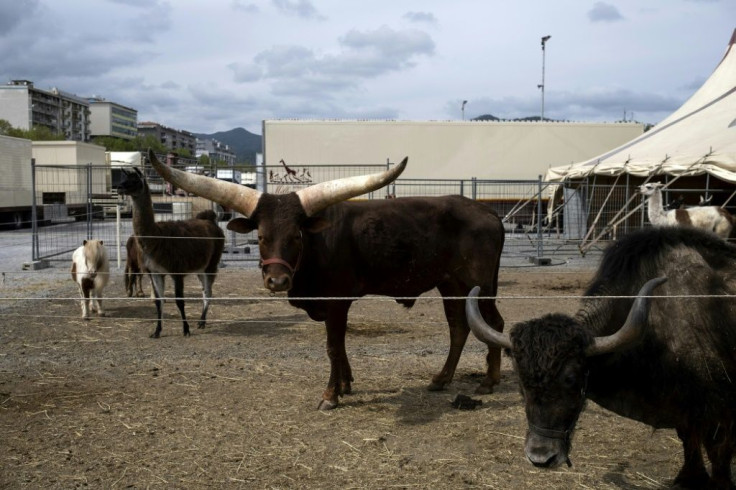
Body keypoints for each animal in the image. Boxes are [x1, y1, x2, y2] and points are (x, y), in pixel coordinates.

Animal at [150, 148, 506, 410]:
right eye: (261, 236)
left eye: (296, 235)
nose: (277, 282)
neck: (315, 246)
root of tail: (487, 212)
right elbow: (341, 346)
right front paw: (346, 384)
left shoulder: (336, 301)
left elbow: (333, 347)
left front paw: (330, 396)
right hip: (451, 285)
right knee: (459, 327)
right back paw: (441, 379)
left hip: (480, 285)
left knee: (493, 324)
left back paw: (488, 381)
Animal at [468, 226, 736, 490]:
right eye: (522, 382)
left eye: (571, 378)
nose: (540, 458)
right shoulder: (686, 405)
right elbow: (688, 437)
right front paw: (688, 478)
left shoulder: (717, 408)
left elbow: (718, 451)